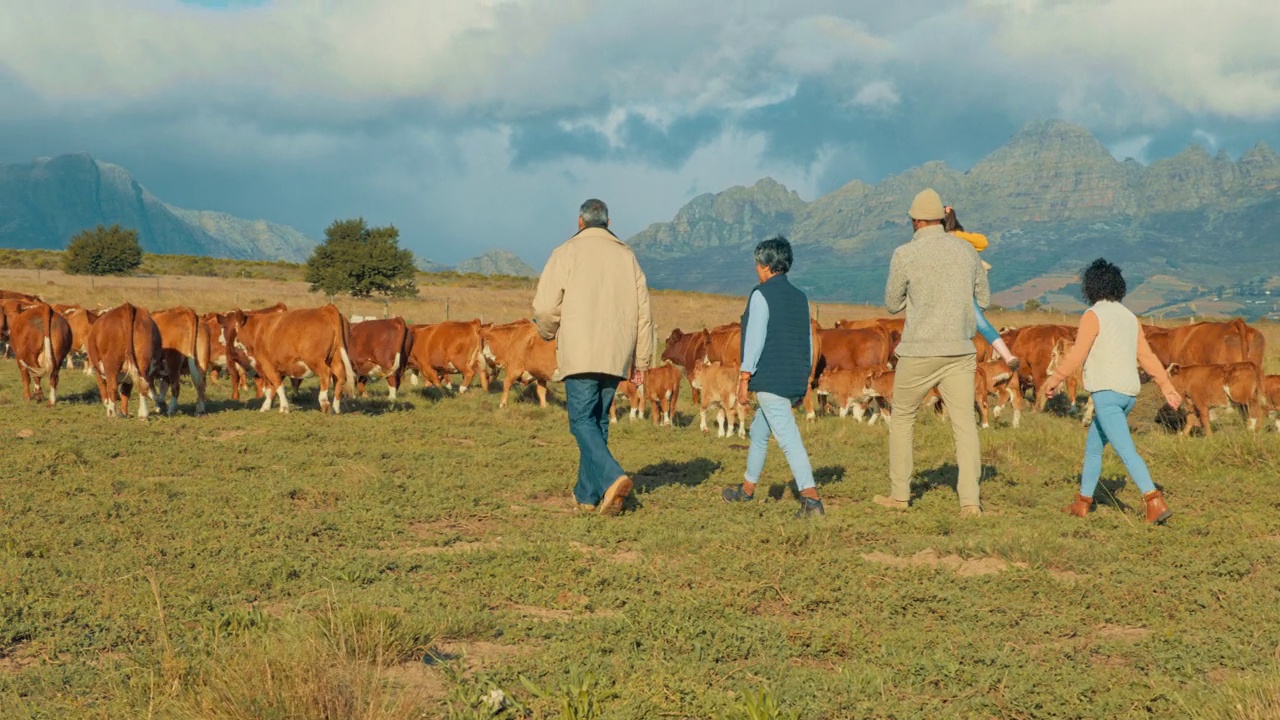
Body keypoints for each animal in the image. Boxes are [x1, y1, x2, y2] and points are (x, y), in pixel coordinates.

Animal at [225, 302, 353, 412]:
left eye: (235, 329)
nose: (231, 346)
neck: (257, 330)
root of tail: (326, 308)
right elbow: (272, 388)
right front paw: (266, 407)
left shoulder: (267, 365)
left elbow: (277, 385)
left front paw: (284, 408)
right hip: (335, 357)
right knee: (340, 376)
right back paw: (336, 407)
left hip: (315, 360)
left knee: (326, 374)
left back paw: (324, 402)